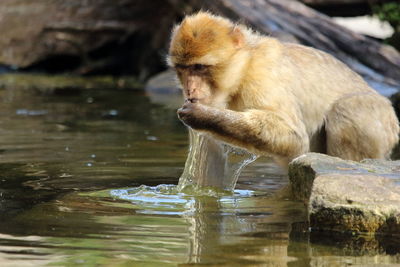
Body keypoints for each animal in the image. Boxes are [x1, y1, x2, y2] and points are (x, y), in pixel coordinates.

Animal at [166, 12, 400, 168]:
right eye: (182, 69)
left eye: (199, 67)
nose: (190, 88)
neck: (242, 70)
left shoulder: (262, 77)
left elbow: (295, 138)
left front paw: (204, 116)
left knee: (349, 107)